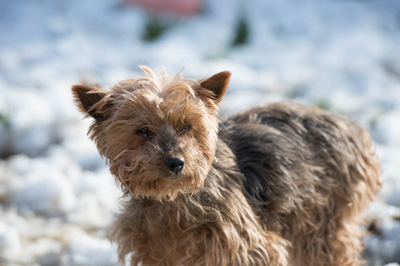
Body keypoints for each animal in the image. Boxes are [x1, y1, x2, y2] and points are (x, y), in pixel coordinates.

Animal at [72, 66, 382, 266]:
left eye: (187, 126)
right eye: (143, 131)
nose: (176, 162)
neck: (173, 200)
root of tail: (352, 127)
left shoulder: (250, 246)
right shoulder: (157, 252)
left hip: (323, 220)